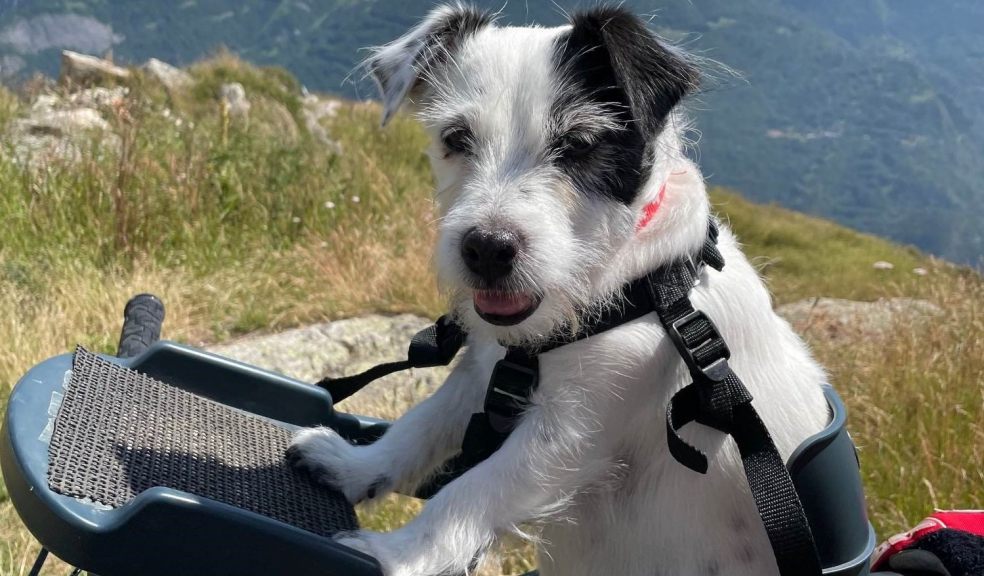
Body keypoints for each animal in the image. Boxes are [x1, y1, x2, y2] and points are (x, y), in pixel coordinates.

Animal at [290, 5, 832, 576]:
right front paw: (355, 465)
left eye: (578, 144)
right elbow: (420, 426)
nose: (487, 249)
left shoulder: (572, 430)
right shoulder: (480, 375)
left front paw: (397, 553)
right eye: (456, 138)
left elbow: (470, 492)